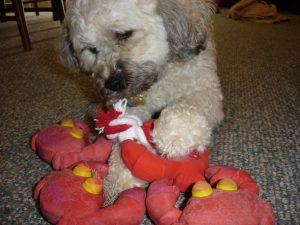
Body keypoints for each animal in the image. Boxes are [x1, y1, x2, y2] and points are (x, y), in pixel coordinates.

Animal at [60, 0, 223, 203]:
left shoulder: (205, 89)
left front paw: (175, 133)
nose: (113, 83)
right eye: (91, 49)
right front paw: (122, 174)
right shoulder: (131, 108)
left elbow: (190, 106)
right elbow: (123, 136)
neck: (160, 77)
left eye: (123, 34)